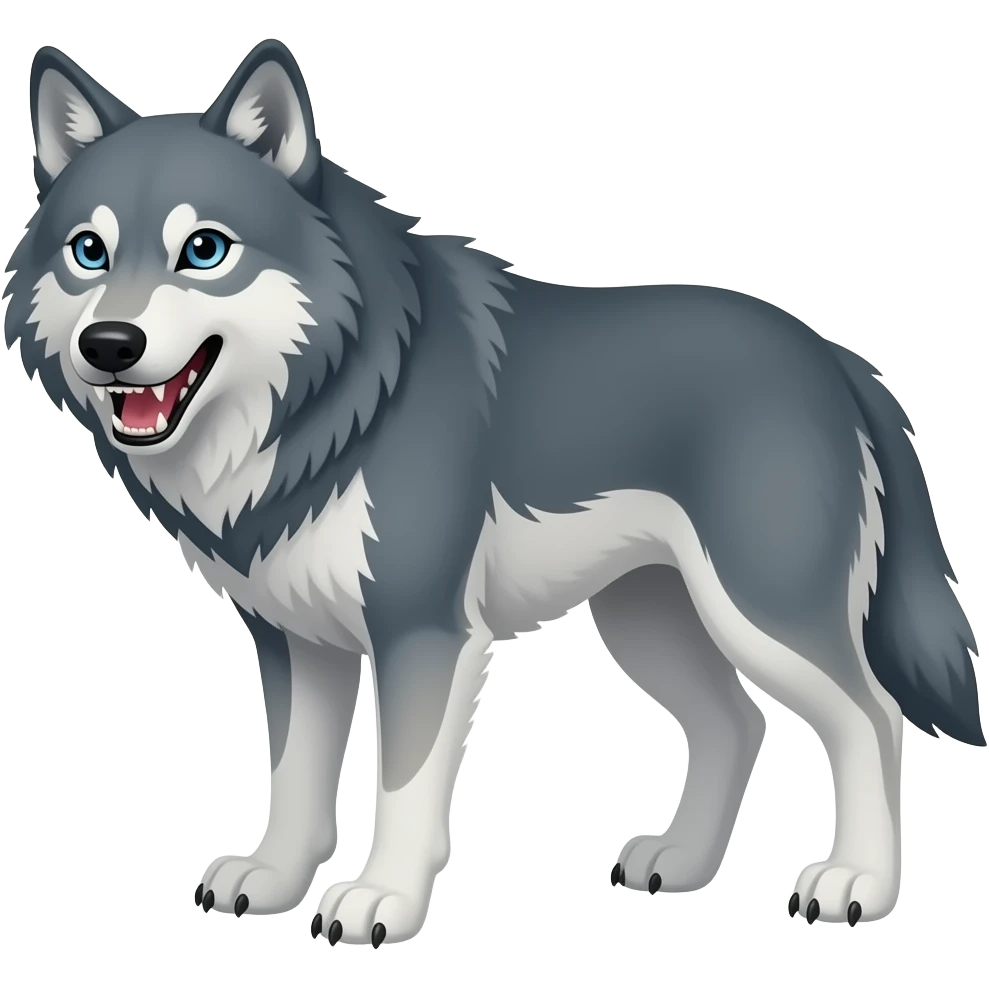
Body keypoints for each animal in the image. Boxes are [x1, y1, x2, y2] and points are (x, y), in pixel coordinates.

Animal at [3, 38, 984, 944]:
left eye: (203, 249)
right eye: (88, 251)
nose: (110, 345)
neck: (338, 394)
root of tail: (835, 357)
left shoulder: (423, 633)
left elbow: (400, 785)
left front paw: (379, 901)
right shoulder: (295, 640)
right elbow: (293, 775)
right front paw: (274, 880)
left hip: (760, 615)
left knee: (870, 718)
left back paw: (856, 883)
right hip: (648, 622)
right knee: (737, 724)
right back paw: (679, 862)